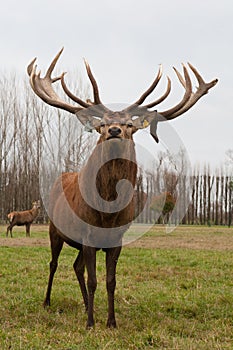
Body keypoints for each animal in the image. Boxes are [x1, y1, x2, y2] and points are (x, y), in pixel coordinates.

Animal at [27, 48, 218, 328]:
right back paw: (47, 302)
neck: (108, 213)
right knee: (53, 263)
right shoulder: (88, 235)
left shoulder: (116, 239)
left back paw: (85, 306)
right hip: (55, 229)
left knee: (76, 266)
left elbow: (110, 281)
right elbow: (94, 280)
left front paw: (111, 321)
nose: (115, 130)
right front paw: (91, 323)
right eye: (102, 124)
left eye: (129, 124)